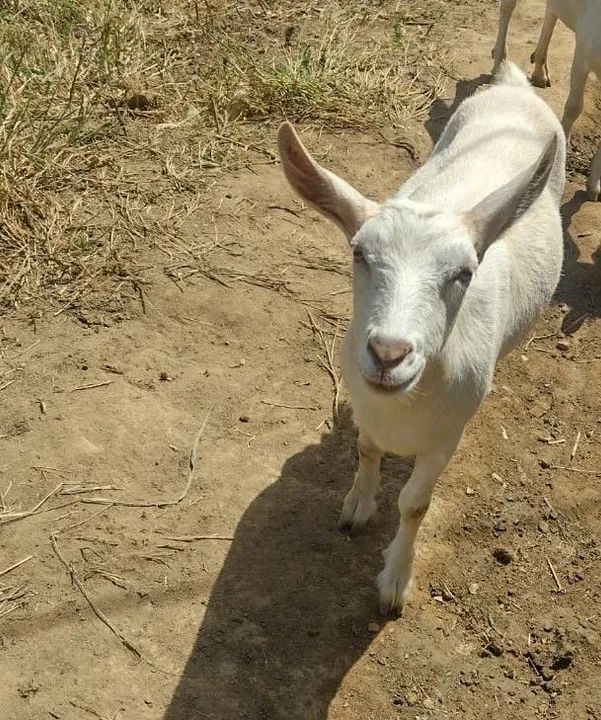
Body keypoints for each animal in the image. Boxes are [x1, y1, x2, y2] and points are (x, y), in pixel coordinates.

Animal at [277, 62, 565, 614]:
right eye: (359, 254)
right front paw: (357, 506)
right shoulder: (367, 410)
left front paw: (394, 582)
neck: (403, 407)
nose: (388, 354)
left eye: (464, 272)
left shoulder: (445, 438)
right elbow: (366, 450)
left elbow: (414, 505)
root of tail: (515, 87)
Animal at [492, 0, 601, 199]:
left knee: (551, 11)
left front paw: (594, 187)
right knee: (507, 8)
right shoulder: (582, 53)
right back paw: (499, 62)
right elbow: (574, 107)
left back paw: (539, 72)